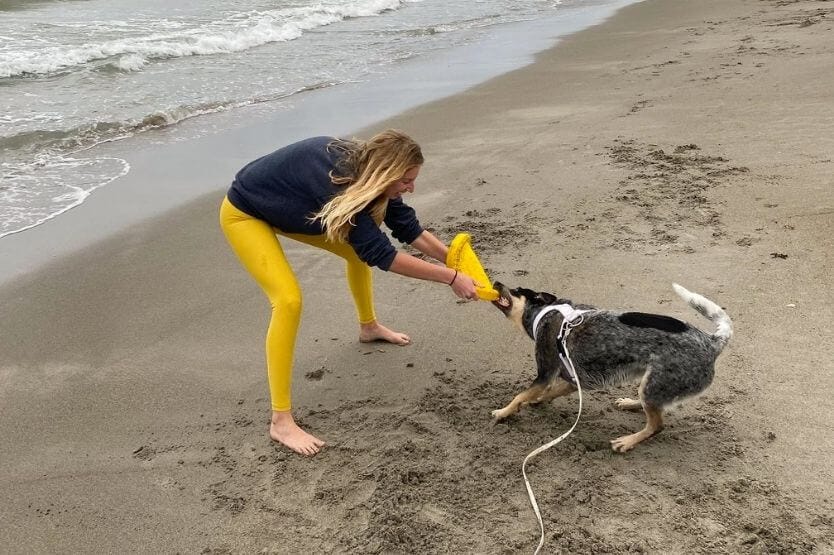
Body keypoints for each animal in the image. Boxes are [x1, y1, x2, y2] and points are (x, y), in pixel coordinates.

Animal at [490, 282, 732, 452]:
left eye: (516, 290)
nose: (496, 281)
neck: (547, 311)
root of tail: (712, 342)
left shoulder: (545, 374)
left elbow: (520, 396)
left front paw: (503, 412)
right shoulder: (572, 380)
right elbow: (547, 393)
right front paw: (537, 401)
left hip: (655, 385)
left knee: (656, 425)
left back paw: (627, 441)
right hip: (650, 385)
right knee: (651, 407)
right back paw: (630, 403)